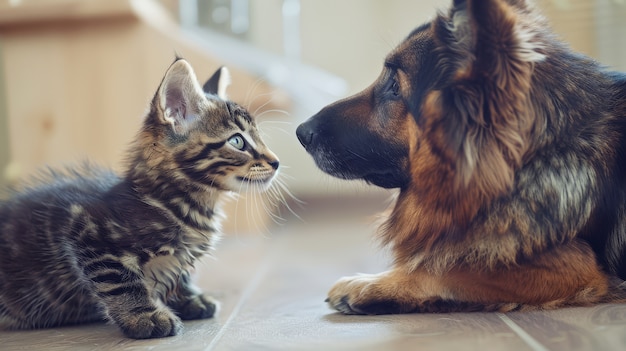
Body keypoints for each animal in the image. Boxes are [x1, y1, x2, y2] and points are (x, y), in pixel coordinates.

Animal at [0, 59, 278, 340]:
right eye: (237, 141)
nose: (276, 162)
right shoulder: (89, 232)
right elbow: (120, 282)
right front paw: (145, 316)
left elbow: (180, 274)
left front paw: (189, 298)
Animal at [294, 0, 624, 314]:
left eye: (394, 87)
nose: (300, 132)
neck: (530, 158)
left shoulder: (577, 265)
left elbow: (447, 266)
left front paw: (368, 284)